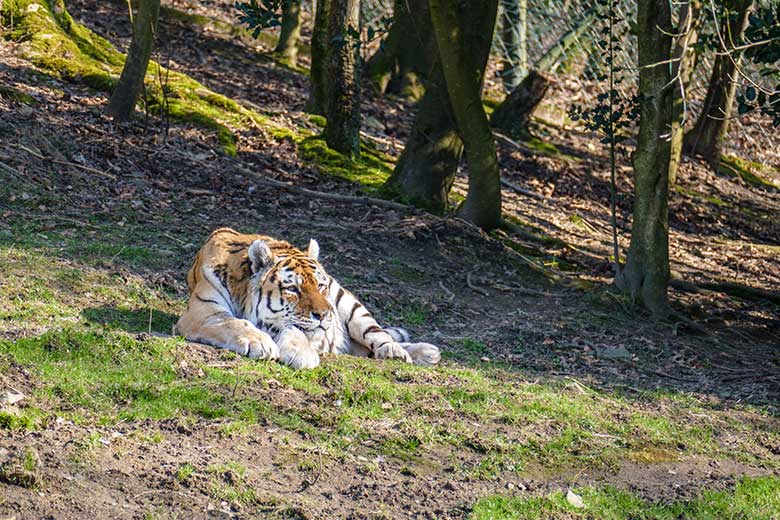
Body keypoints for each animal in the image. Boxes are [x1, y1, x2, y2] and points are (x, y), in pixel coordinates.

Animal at [174, 228, 442, 370]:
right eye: (293, 289)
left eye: (320, 286)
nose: (325, 315)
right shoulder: (202, 312)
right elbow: (233, 322)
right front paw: (260, 342)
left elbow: (295, 330)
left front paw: (299, 353)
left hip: (351, 306)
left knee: (379, 336)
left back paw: (410, 352)